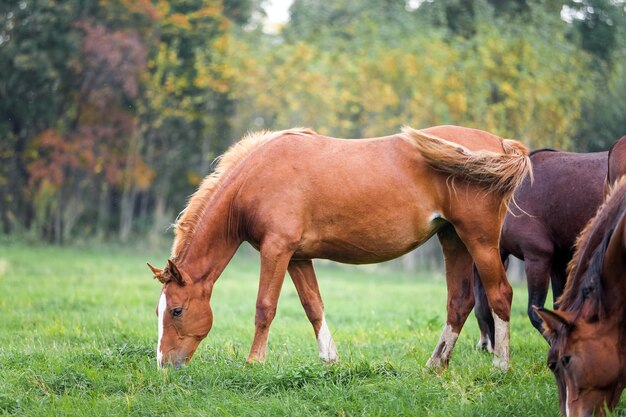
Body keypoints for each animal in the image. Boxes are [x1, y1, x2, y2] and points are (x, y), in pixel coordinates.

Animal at [149, 125, 528, 368]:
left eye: (176, 310)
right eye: (158, 311)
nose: (165, 364)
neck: (256, 176)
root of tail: (501, 144)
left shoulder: (276, 250)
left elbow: (264, 308)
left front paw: (254, 361)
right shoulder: (297, 257)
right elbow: (312, 305)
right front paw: (329, 358)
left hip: (479, 241)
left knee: (500, 294)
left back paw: (500, 364)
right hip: (453, 240)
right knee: (459, 302)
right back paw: (436, 364)